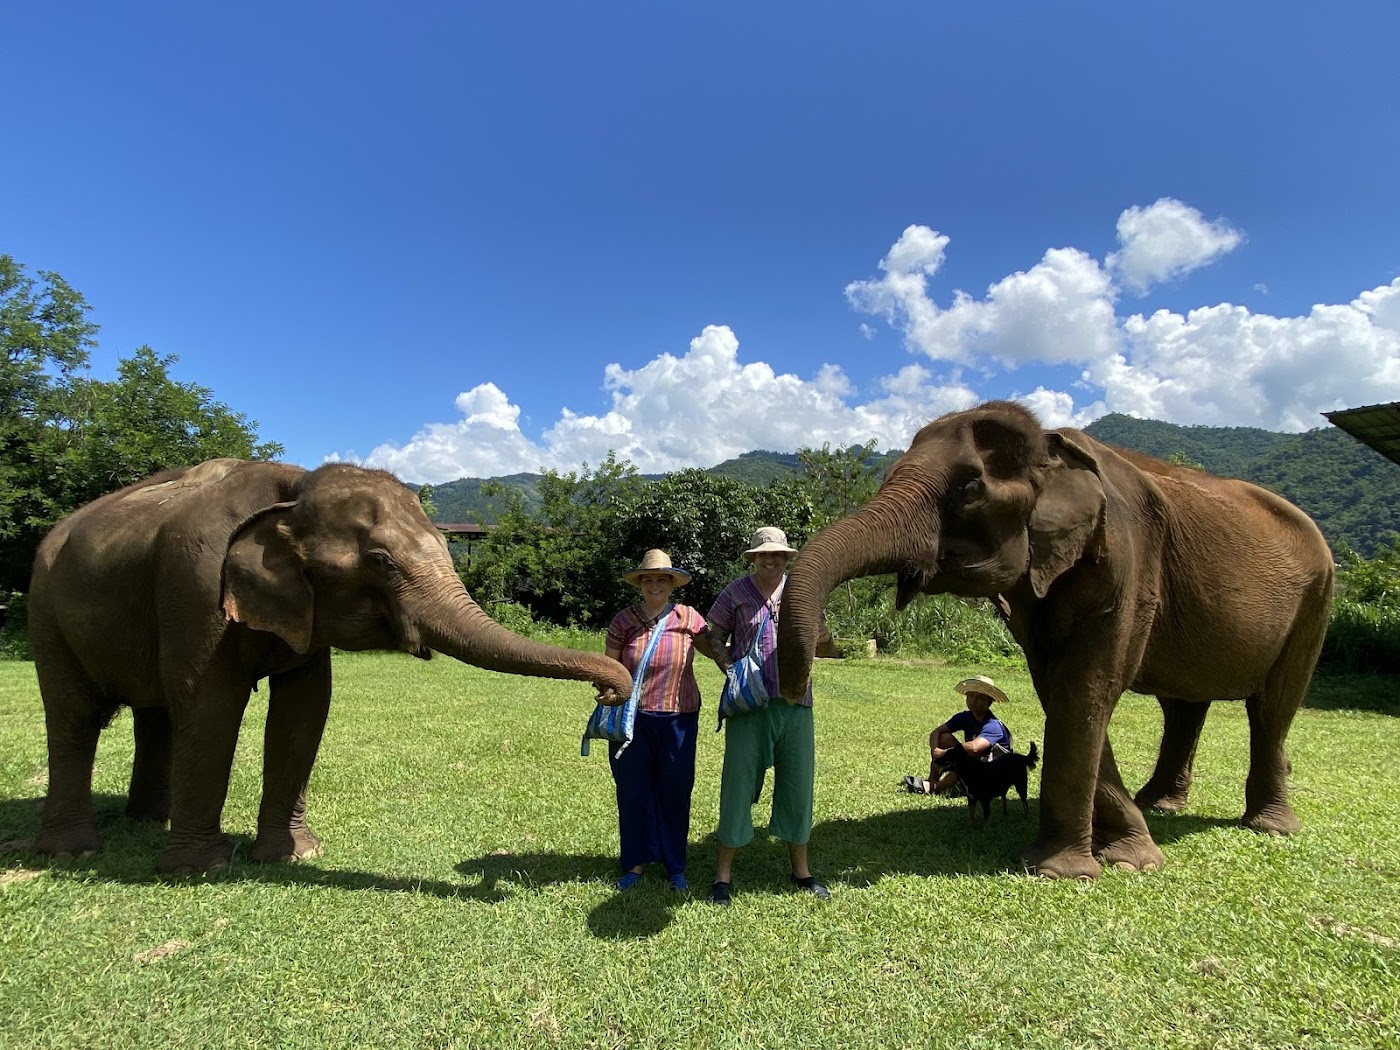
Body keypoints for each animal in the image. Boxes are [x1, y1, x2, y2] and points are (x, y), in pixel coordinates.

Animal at [28, 459, 633, 874]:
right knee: (74, 716)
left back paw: (149, 821)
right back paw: (73, 852)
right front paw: (200, 869)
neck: (294, 489)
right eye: (381, 561)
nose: (609, 693)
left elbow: (304, 710)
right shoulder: (194, 586)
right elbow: (210, 706)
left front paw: (293, 856)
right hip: (45, 609)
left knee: (153, 716)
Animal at [776, 401, 1333, 880]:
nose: (795, 689)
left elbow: (1084, 690)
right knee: (1184, 706)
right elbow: (1057, 688)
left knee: (1273, 706)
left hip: (1317, 601)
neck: (1053, 448)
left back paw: (1271, 826)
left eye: (970, 488)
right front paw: (1125, 853)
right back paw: (1158, 805)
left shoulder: (1128, 560)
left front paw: (1073, 869)